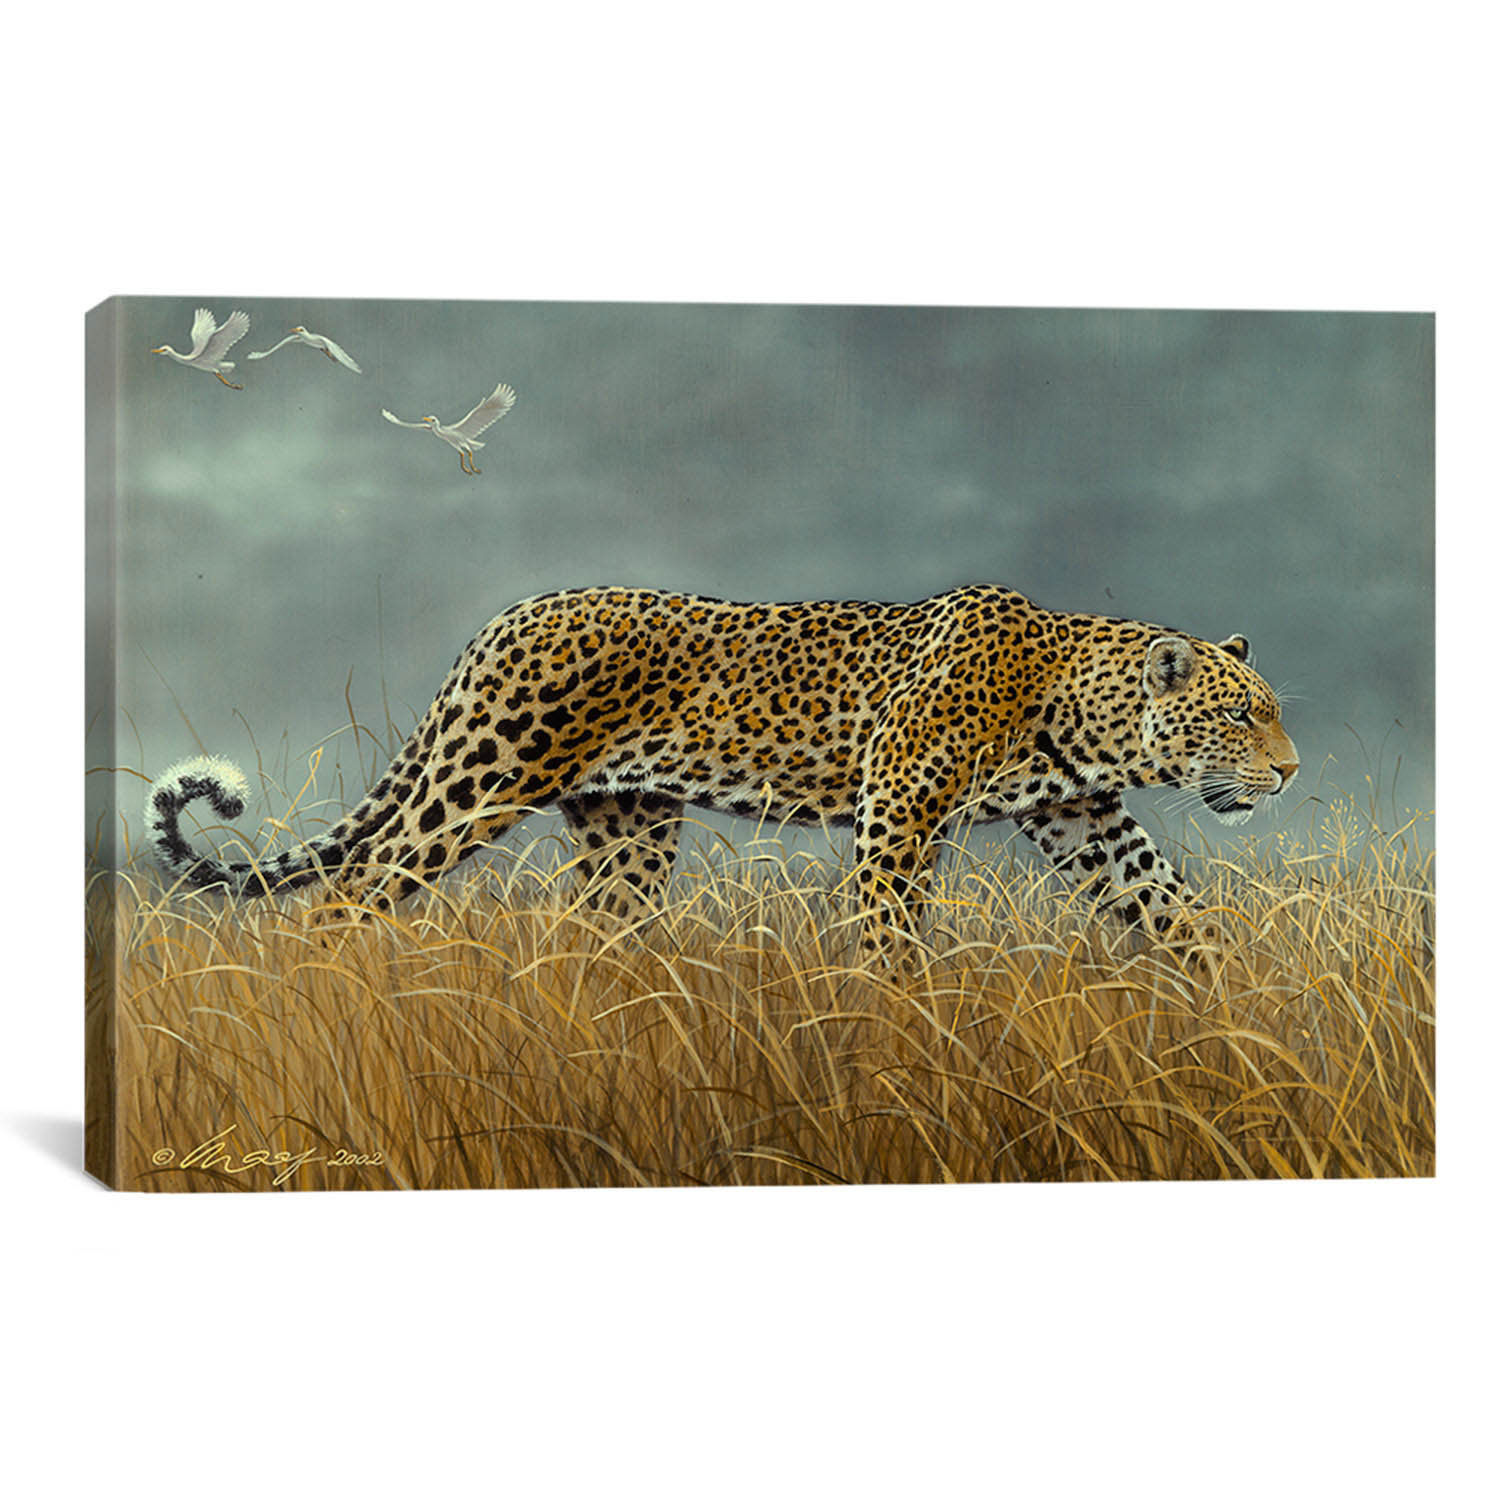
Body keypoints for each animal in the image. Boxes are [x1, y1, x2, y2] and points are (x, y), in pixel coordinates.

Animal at [144, 584, 1299, 960]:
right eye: (1243, 716)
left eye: (1274, 713)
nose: (1289, 773)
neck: (1080, 710)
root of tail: (507, 618)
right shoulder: (898, 815)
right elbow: (890, 939)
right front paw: (900, 1032)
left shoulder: (1088, 821)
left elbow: (1174, 910)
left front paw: (1231, 1009)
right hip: (479, 783)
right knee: (349, 893)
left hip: (628, 825)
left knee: (599, 931)